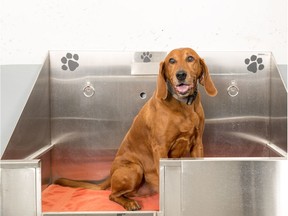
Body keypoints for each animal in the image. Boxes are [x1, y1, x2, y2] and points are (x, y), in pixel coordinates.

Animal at [55, 47, 218, 211]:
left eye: (190, 58)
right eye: (171, 61)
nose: (181, 74)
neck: (184, 105)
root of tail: (110, 174)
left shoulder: (197, 145)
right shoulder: (160, 148)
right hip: (135, 169)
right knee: (112, 195)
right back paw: (129, 203)